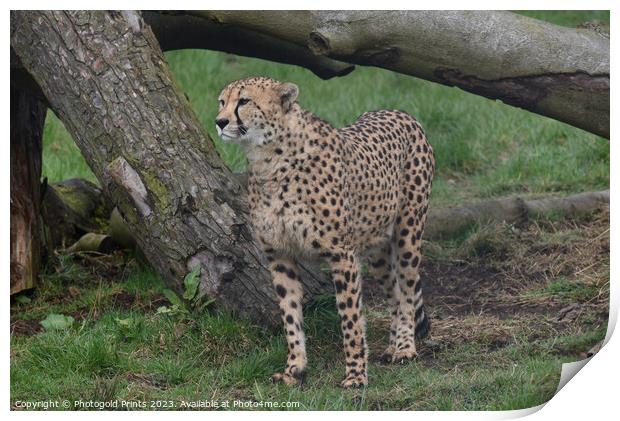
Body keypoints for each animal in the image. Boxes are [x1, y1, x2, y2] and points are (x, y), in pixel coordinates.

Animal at [216, 76, 434, 388]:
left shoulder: (342, 254)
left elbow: (350, 318)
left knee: (406, 289)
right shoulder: (279, 255)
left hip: (408, 232)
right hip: (377, 246)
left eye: (244, 101)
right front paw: (294, 369)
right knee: (393, 289)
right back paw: (393, 346)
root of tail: (399, 112)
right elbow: (290, 315)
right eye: (222, 102)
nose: (220, 121)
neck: (267, 159)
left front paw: (356, 375)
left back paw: (405, 347)